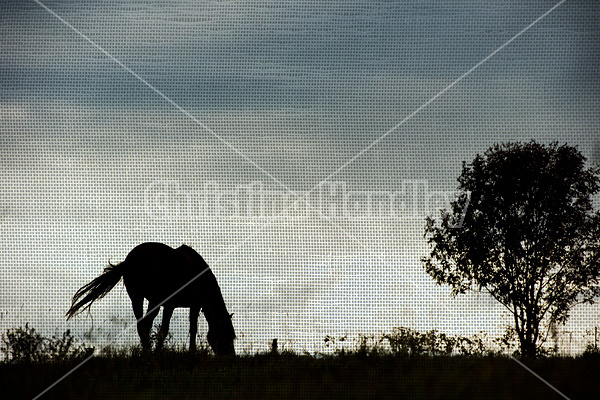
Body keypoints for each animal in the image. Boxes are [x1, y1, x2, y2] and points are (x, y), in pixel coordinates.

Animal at [65, 242, 234, 354]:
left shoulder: (180, 306)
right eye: (225, 333)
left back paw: (146, 351)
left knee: (141, 324)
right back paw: (149, 351)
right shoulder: (182, 305)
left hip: (137, 298)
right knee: (146, 323)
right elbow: (179, 329)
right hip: (154, 300)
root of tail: (130, 261)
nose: (229, 356)